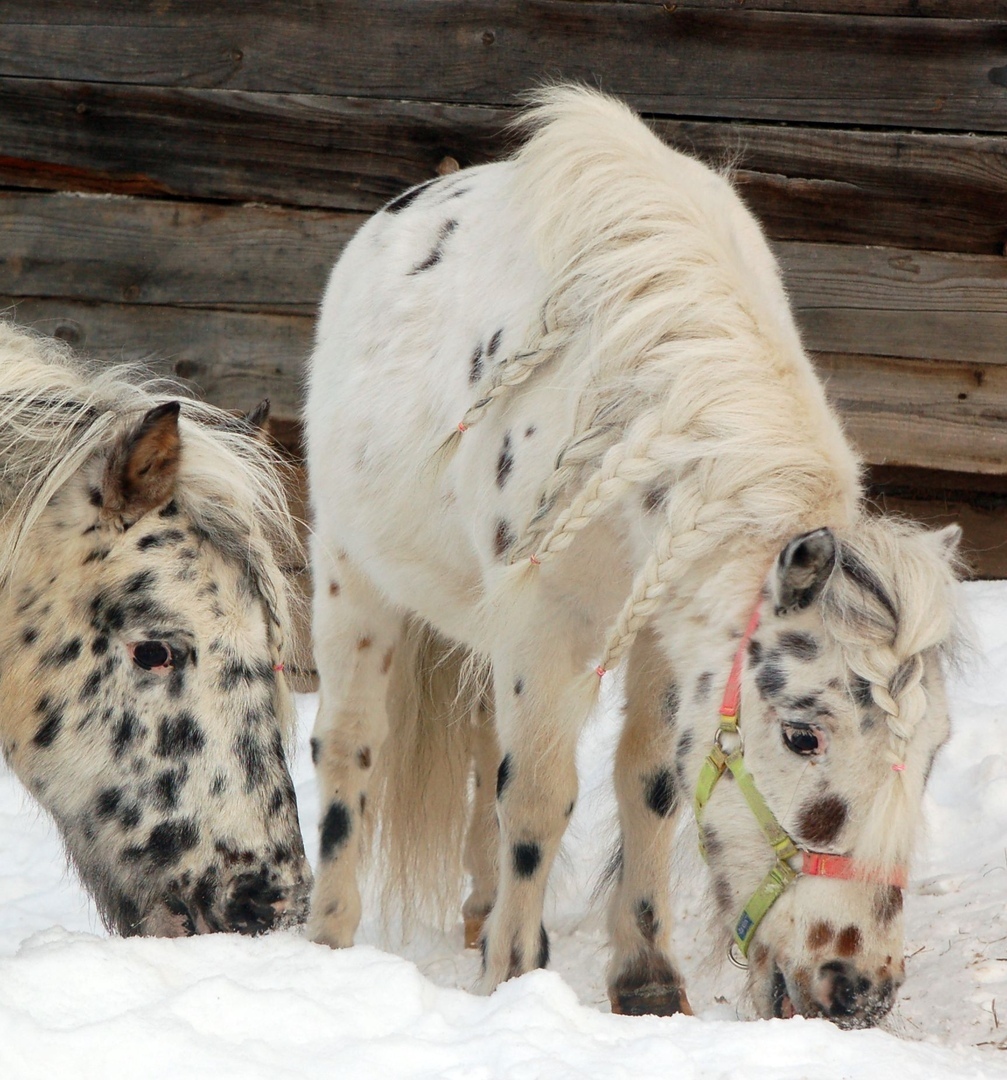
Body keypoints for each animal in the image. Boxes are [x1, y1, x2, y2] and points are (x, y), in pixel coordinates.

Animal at [304, 88, 959, 1023]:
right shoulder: (544, 630)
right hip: (352, 576)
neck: (648, 406)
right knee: (350, 746)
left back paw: (476, 910)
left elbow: (649, 786)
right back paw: (330, 937)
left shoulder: (664, 632)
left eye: (935, 747)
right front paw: (514, 974)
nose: (856, 990)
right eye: (801, 734)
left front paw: (645, 977)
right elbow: (536, 800)